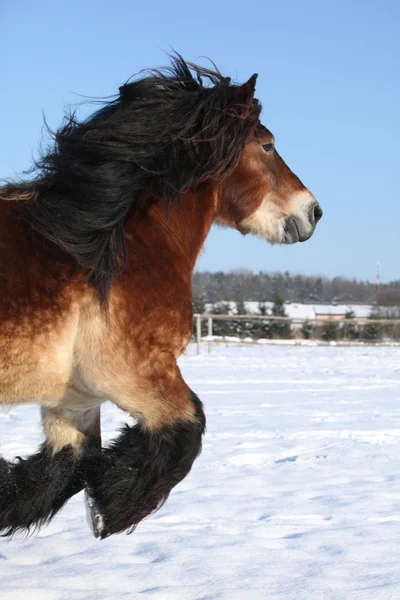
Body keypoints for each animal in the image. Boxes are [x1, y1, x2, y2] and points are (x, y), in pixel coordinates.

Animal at [0, 57, 322, 540]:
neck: (110, 244)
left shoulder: (74, 398)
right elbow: (190, 425)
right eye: (267, 145)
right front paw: (110, 510)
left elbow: (60, 471)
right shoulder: (132, 371)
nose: (313, 212)